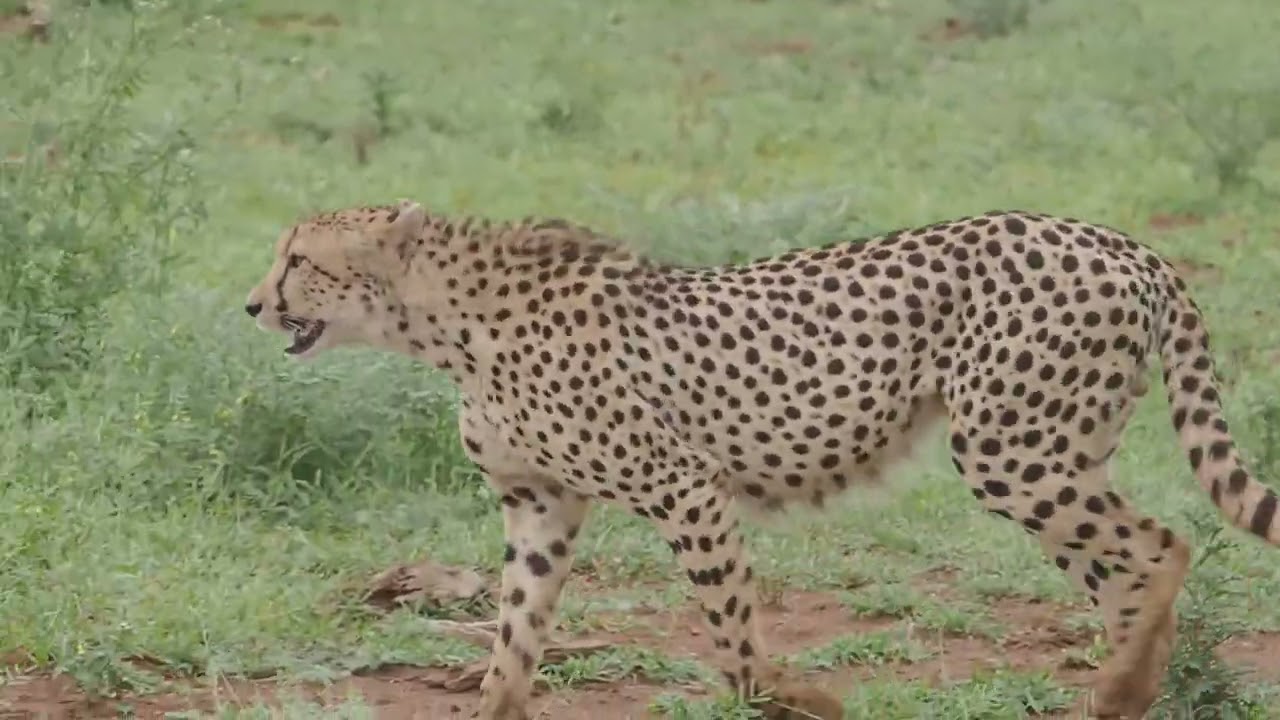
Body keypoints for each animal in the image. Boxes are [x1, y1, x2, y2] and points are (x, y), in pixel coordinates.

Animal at [244, 199, 1279, 719]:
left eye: (299, 258)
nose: (252, 305)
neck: (446, 326)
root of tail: (1120, 241)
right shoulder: (539, 503)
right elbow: (514, 637)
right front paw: (498, 703)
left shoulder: (684, 488)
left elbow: (734, 640)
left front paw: (798, 696)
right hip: (1051, 453)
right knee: (1124, 574)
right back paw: (1127, 691)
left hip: (1011, 451)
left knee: (1166, 546)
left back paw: (1123, 687)